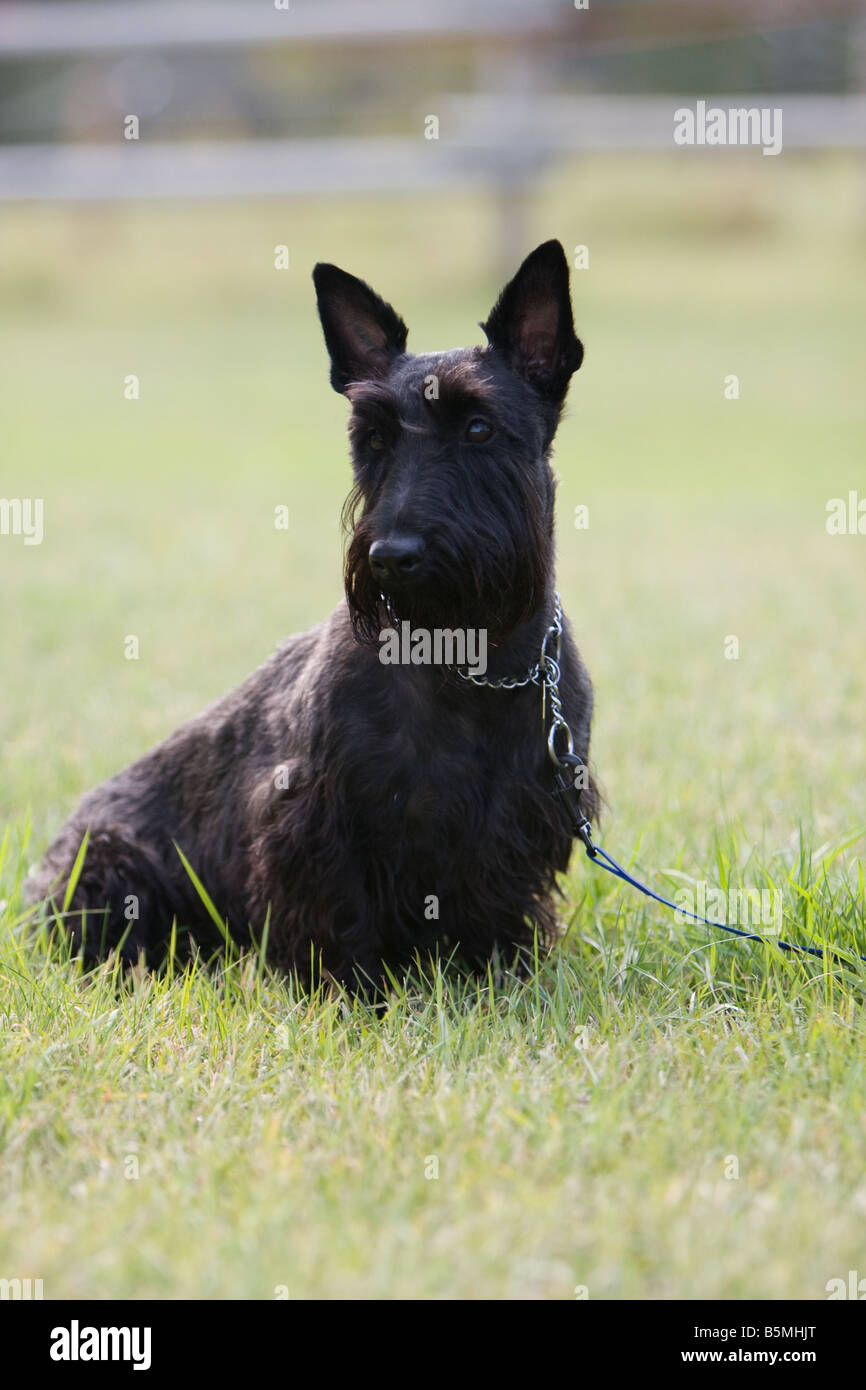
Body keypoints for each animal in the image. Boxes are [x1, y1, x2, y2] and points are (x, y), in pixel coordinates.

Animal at [28, 244, 594, 995]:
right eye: (373, 437)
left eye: (479, 428)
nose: (393, 555)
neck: (465, 657)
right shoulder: (313, 811)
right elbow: (336, 907)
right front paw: (347, 989)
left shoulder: (521, 812)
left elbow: (493, 898)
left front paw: (492, 972)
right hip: (109, 871)